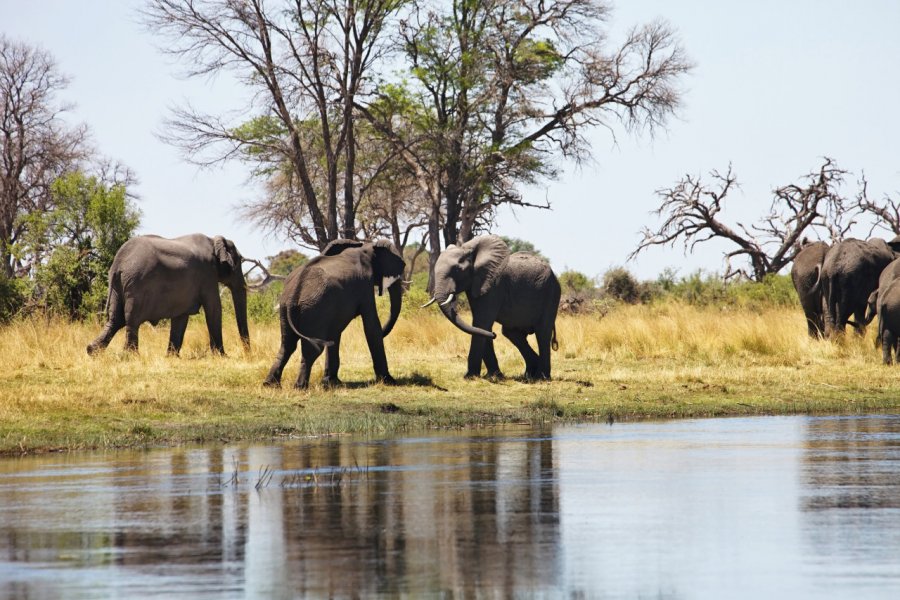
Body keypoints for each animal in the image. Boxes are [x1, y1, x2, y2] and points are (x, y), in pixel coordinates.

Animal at [85, 233, 250, 356]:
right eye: (238, 263)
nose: (248, 353)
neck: (213, 240)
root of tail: (118, 262)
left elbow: (181, 317)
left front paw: (171, 357)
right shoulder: (207, 274)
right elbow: (214, 308)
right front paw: (222, 356)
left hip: (118, 286)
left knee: (115, 319)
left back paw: (92, 351)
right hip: (136, 284)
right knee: (131, 320)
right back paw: (130, 356)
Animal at [262, 238, 406, 390]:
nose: (386, 332)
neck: (365, 247)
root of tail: (295, 291)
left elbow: (335, 332)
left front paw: (332, 382)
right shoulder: (364, 286)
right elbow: (372, 326)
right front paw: (389, 381)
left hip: (286, 309)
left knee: (287, 346)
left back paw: (270, 384)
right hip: (313, 309)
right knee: (312, 349)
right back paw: (300, 387)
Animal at [424, 234, 564, 380]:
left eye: (457, 270)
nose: (494, 335)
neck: (469, 250)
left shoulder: (494, 286)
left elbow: (481, 322)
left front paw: (470, 376)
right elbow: (480, 326)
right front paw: (494, 376)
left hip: (551, 294)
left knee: (542, 333)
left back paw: (541, 377)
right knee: (512, 333)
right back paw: (529, 375)